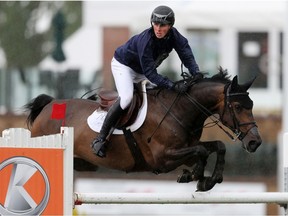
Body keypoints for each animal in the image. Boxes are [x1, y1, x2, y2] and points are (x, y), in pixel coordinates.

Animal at [24, 68, 260, 192]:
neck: (181, 110)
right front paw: (194, 176)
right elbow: (202, 151)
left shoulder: (186, 150)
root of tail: (48, 105)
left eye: (251, 105)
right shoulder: (163, 158)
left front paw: (207, 179)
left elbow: (217, 147)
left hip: (83, 164)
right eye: (237, 107)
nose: (255, 142)